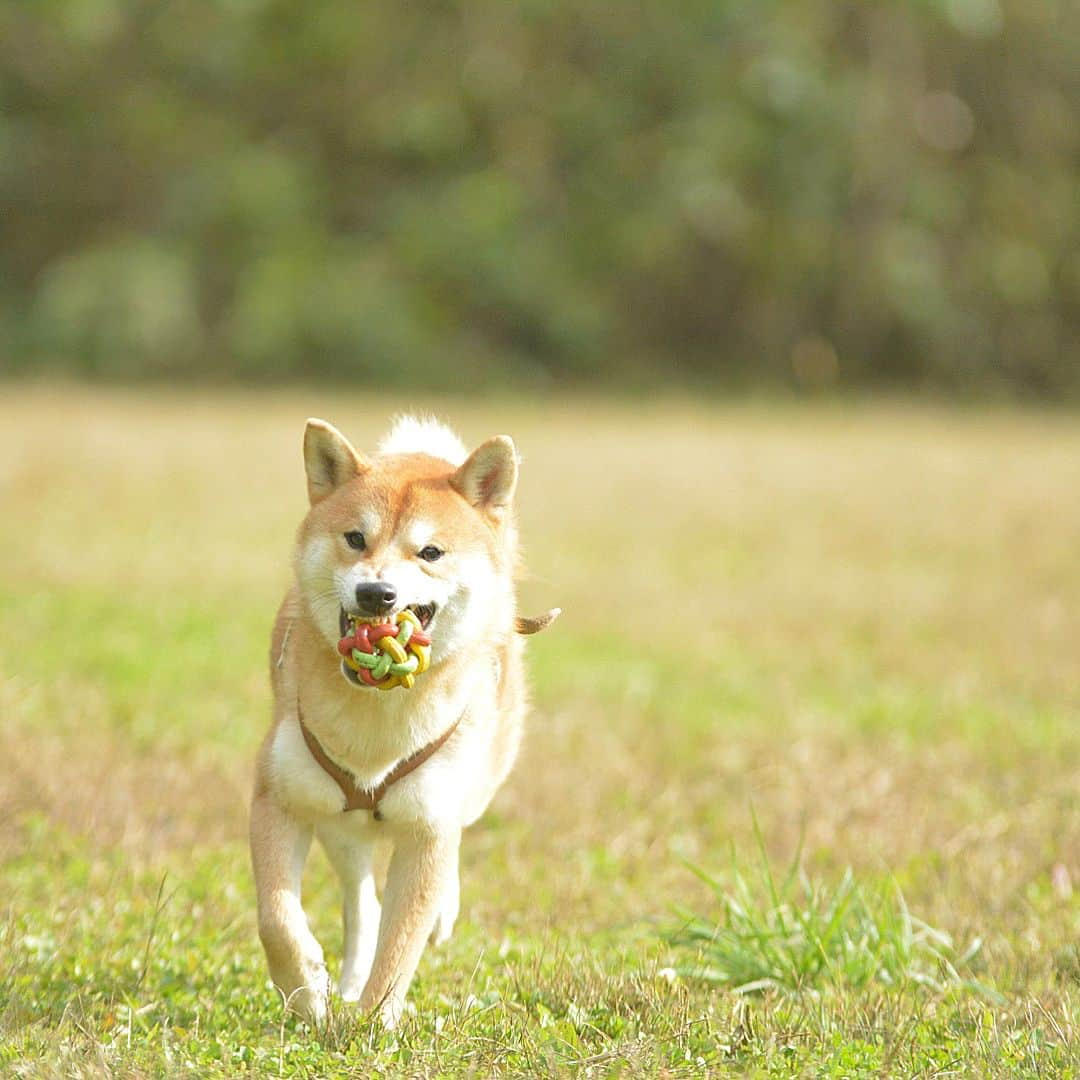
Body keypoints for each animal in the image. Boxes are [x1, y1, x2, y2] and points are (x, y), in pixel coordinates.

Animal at [249, 414, 557, 1028]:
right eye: (355, 539)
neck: (377, 721)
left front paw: (372, 1026)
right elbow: (277, 919)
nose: (376, 592)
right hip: (340, 824)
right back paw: (343, 983)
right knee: (360, 904)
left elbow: (401, 946)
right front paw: (308, 993)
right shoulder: (279, 800)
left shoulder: (428, 828)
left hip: (476, 781)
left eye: (431, 552)